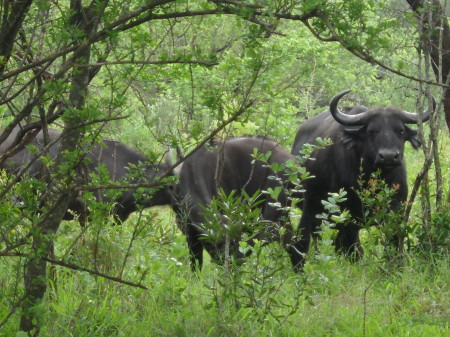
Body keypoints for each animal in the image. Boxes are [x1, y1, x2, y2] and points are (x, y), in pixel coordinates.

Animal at [290, 90, 430, 262]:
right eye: (372, 131)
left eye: (401, 130)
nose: (389, 156)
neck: (373, 179)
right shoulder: (348, 214)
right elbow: (353, 249)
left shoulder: (397, 208)